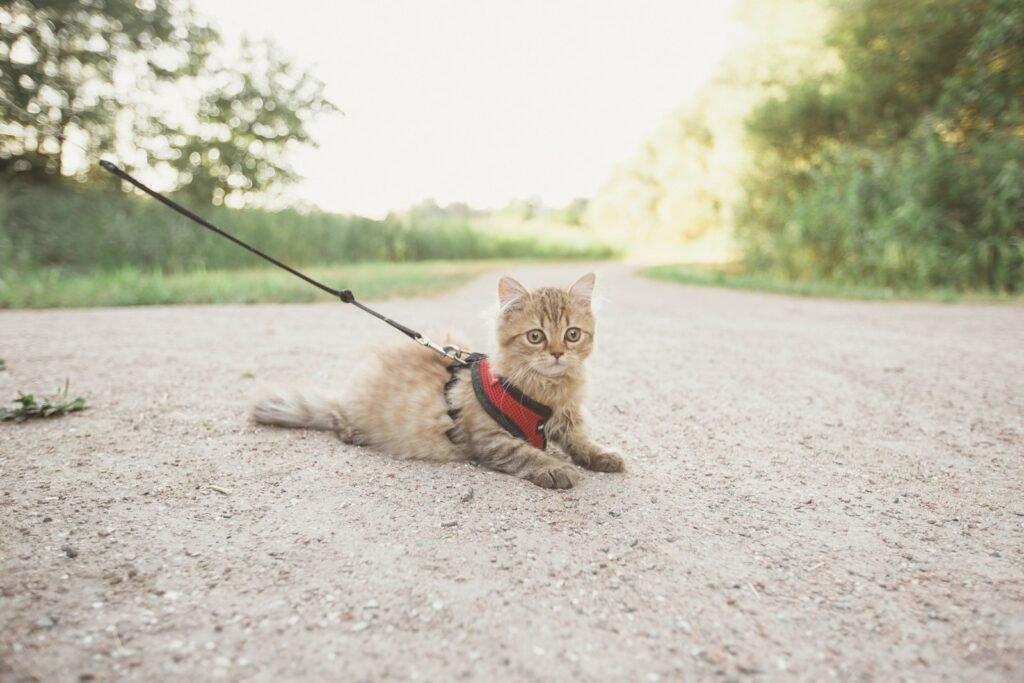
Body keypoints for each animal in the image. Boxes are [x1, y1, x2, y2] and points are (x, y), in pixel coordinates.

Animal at [253, 272, 622, 485]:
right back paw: (351, 431)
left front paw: (602, 456)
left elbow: (581, 443)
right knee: (334, 415)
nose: (558, 354)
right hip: (353, 410)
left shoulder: (568, 420)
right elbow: (528, 454)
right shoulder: (491, 438)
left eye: (572, 335)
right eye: (535, 337)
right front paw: (554, 468)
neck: (549, 393)